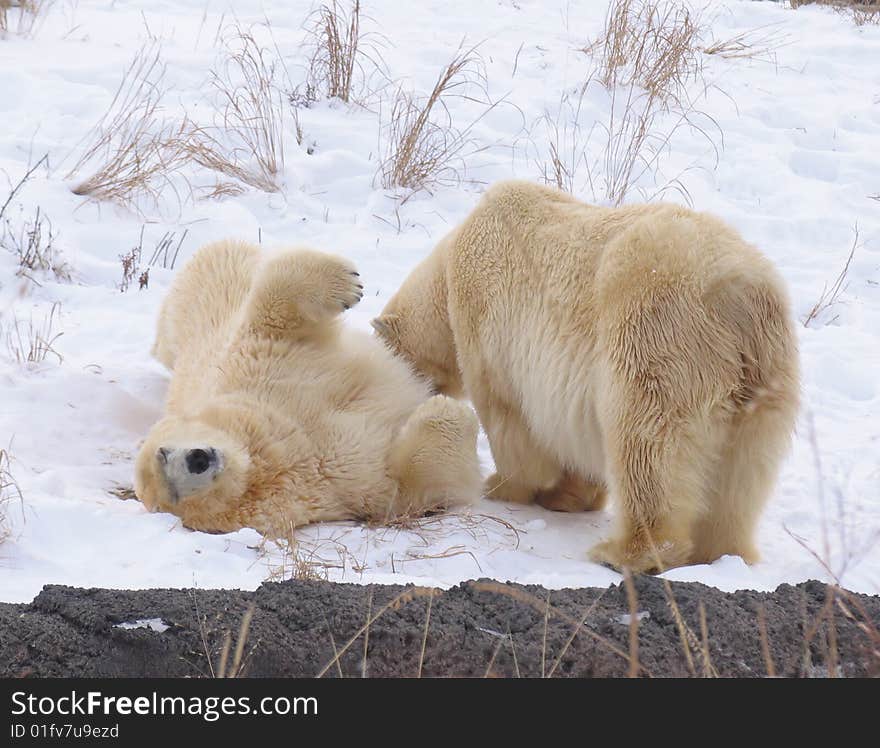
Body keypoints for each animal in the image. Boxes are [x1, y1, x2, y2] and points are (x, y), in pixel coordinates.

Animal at [134, 238, 482, 532]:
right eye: (173, 490)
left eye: (163, 452)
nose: (198, 459)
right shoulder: (343, 486)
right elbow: (417, 484)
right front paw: (446, 410)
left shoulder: (253, 366)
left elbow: (270, 313)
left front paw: (348, 282)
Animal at [372, 181, 796, 572]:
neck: (450, 266)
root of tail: (740, 294)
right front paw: (571, 497)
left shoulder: (487, 322)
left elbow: (508, 416)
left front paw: (505, 485)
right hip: (763, 377)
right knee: (742, 473)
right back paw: (720, 552)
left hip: (658, 331)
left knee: (645, 440)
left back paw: (627, 552)